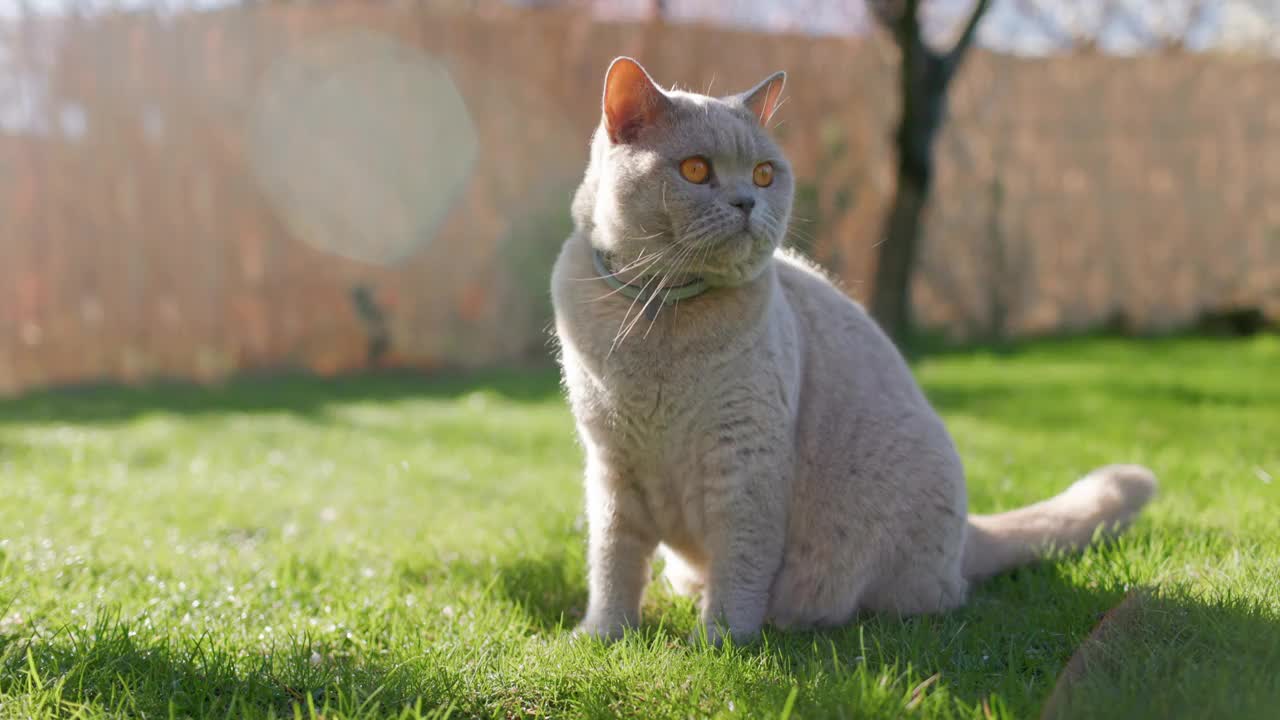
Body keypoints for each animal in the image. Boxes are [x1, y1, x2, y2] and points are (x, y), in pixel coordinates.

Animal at [550, 54, 1162, 638]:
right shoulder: (610, 464)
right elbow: (613, 558)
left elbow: (740, 560)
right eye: (696, 169)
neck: (658, 317)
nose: (748, 201)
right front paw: (604, 635)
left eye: (764, 174)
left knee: (932, 600)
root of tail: (968, 532)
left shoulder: (746, 456)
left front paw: (722, 640)